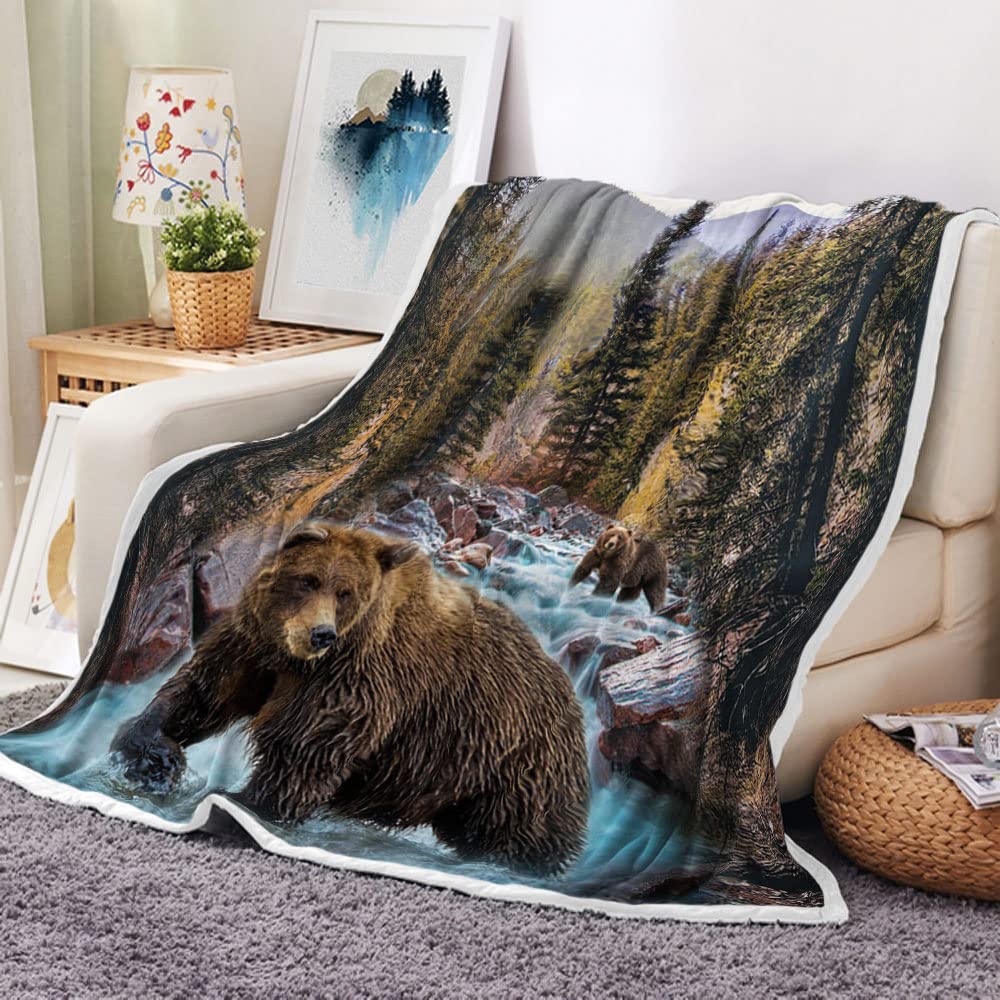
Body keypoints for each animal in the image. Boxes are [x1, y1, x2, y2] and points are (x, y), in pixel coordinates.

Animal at [112, 521, 590, 874]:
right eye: (308, 580)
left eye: (345, 592)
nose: (321, 634)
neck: (294, 659)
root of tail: (572, 695)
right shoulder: (253, 647)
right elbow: (203, 693)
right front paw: (153, 755)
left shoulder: (357, 678)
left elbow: (306, 748)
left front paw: (245, 802)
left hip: (518, 766)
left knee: (523, 833)